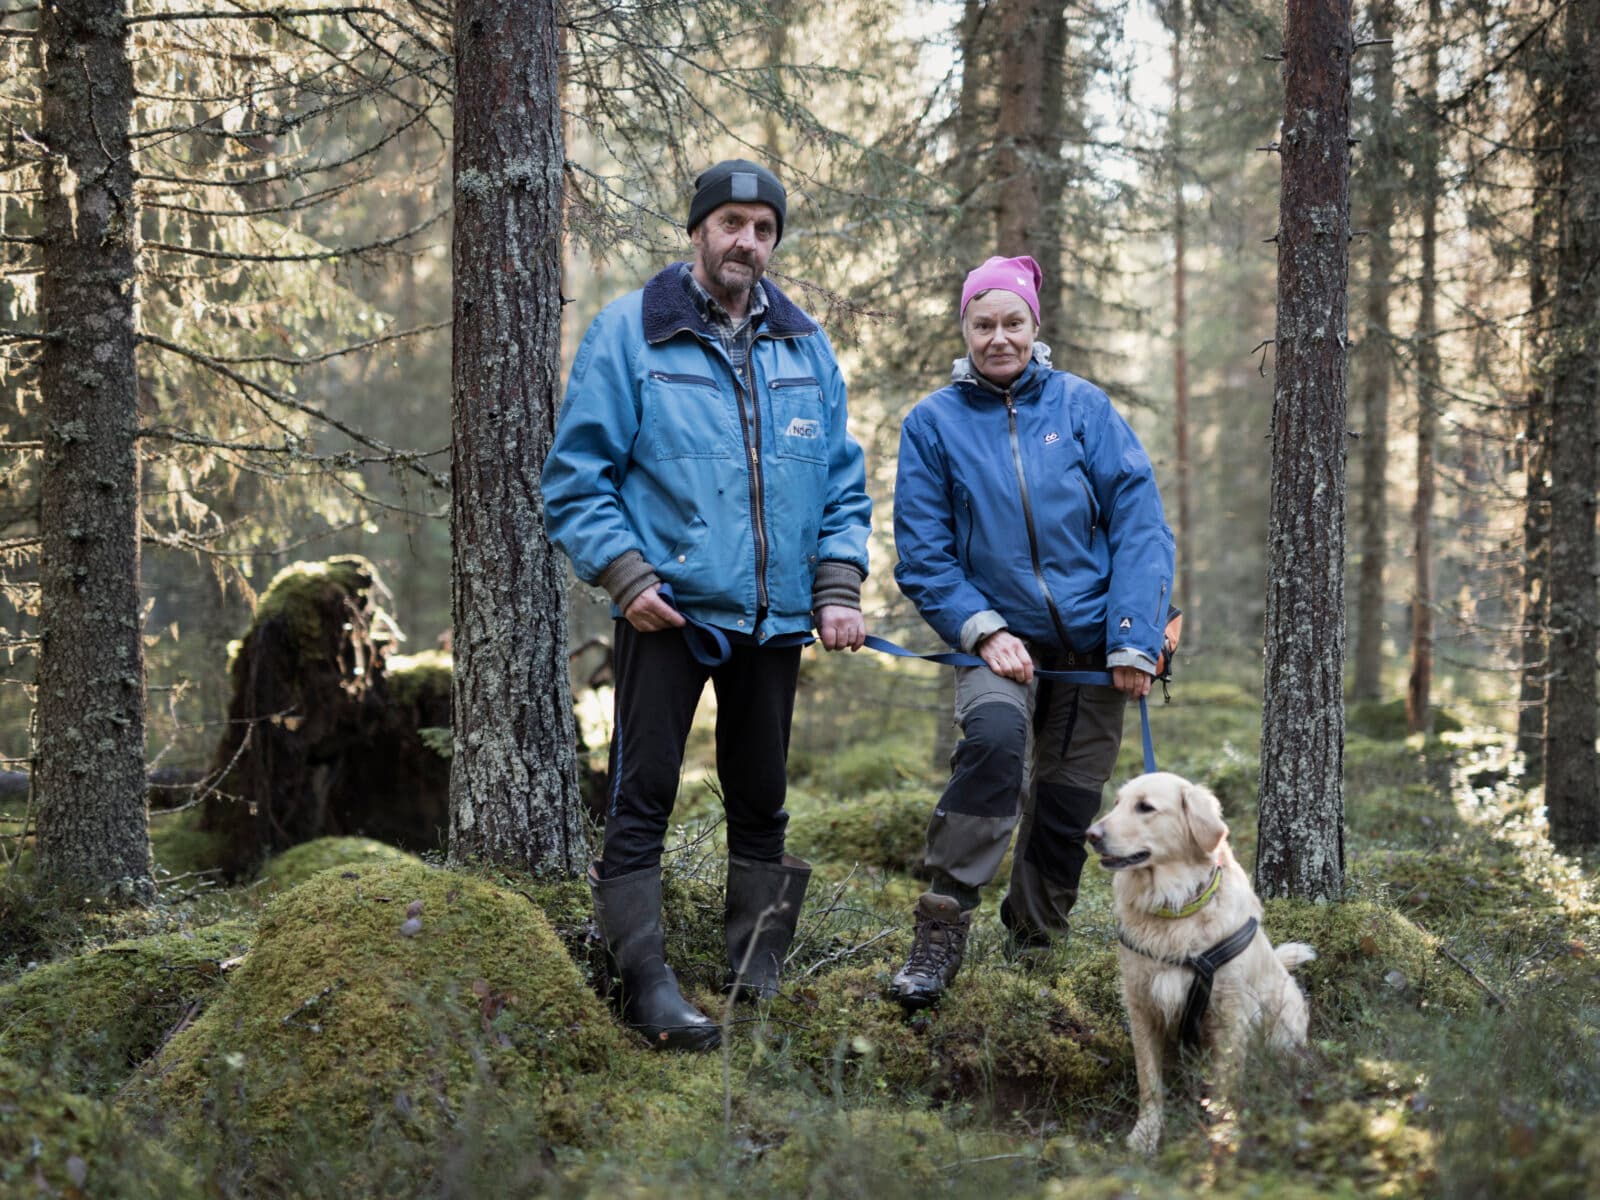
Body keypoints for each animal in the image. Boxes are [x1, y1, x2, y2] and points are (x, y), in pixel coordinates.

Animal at [1088, 774, 1312, 1158]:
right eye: (1116, 803)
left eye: (1145, 807)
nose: (1091, 834)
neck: (1175, 908)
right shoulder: (1141, 1003)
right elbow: (1149, 1079)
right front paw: (1146, 1133)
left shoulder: (1230, 1010)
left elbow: (1227, 1079)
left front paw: (1224, 1129)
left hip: (1284, 1027)